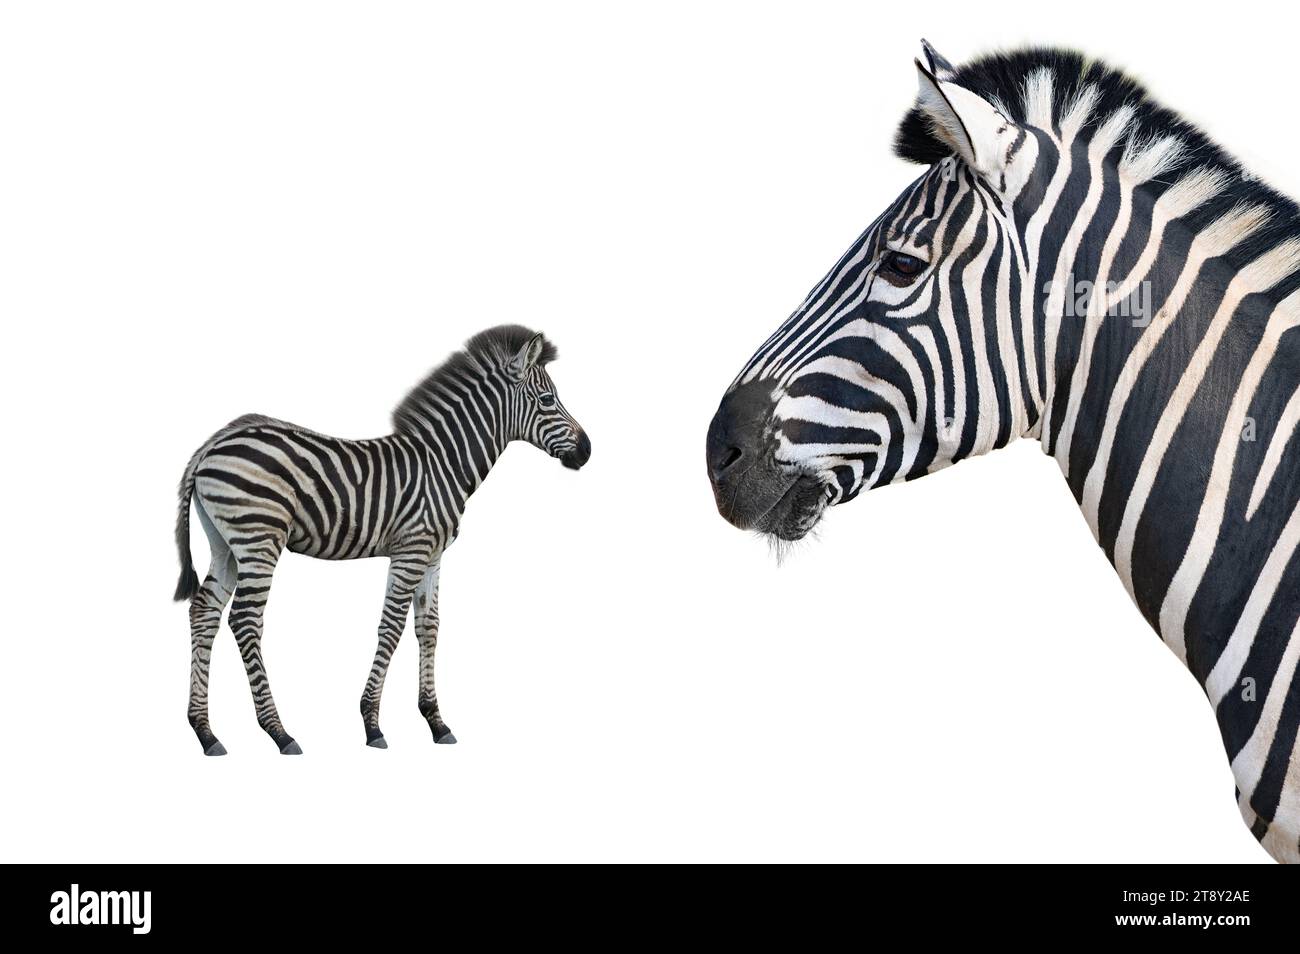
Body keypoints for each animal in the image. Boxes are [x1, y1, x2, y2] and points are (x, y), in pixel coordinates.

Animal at [173, 325, 590, 755]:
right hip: (259, 537)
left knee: (204, 611)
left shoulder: (433, 555)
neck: (444, 463)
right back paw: (279, 732)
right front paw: (372, 724)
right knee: (244, 619)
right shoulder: (411, 549)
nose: (587, 450)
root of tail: (213, 444)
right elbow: (391, 627)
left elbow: (429, 627)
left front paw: (436, 721)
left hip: (226, 544)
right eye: (547, 399)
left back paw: (205, 731)